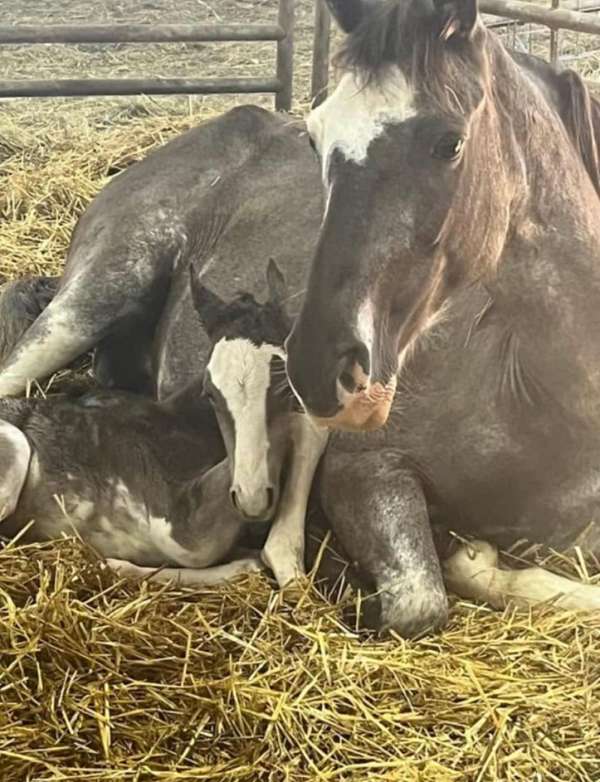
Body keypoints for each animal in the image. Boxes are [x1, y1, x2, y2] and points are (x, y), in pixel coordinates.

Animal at [284, 0, 600, 633]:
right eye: (313, 136)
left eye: (449, 143)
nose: (316, 368)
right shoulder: (363, 468)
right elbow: (421, 602)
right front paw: (474, 559)